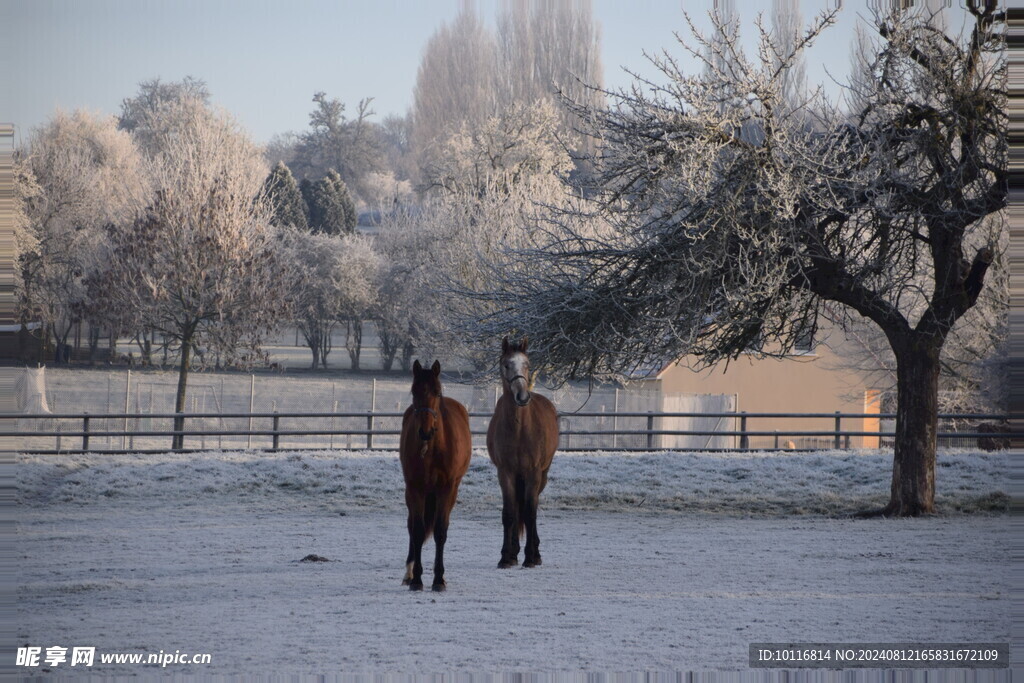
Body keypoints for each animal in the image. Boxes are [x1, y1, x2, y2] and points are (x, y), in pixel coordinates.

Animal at [399, 360, 471, 589]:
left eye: (437, 392)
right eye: (414, 391)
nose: (426, 431)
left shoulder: (446, 489)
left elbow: (440, 531)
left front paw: (439, 579)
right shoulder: (415, 489)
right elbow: (418, 530)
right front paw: (417, 579)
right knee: (411, 526)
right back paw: (409, 572)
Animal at [487, 335, 561, 565]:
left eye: (527, 364)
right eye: (506, 364)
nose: (522, 396)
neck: (520, 430)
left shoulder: (534, 472)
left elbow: (530, 513)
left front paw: (531, 556)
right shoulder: (505, 472)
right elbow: (509, 513)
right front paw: (506, 556)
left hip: (542, 475)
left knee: (531, 508)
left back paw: (534, 551)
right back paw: (514, 551)